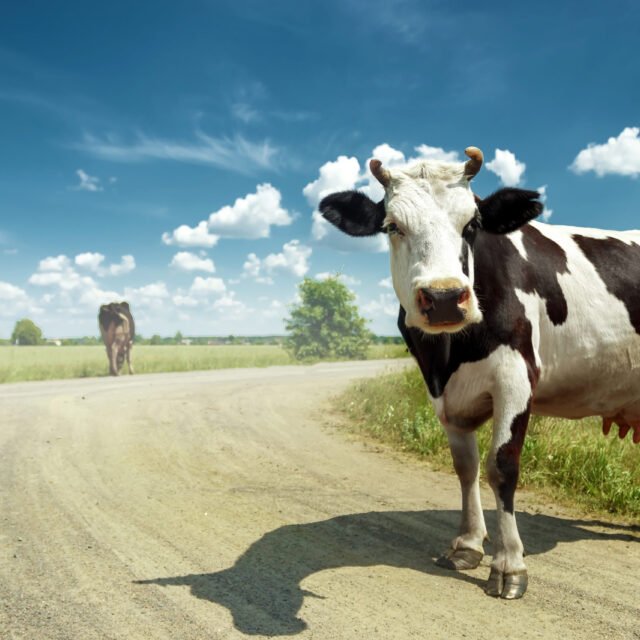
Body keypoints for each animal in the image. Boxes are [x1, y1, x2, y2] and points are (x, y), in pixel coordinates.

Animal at [319, 147, 640, 599]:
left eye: (471, 224)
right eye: (393, 226)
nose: (444, 298)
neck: (450, 354)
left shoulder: (516, 377)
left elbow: (501, 466)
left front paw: (509, 564)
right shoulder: (443, 392)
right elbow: (465, 466)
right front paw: (468, 544)